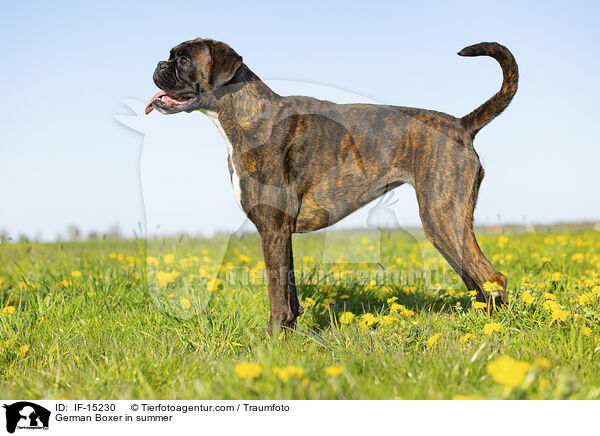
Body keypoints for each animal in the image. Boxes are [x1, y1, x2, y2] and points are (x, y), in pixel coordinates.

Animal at [144, 38, 516, 334]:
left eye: (184, 60)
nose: (159, 65)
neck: (249, 116)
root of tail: (461, 125)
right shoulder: (282, 234)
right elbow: (289, 294)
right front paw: (288, 336)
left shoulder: (272, 230)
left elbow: (276, 296)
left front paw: (270, 343)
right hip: (451, 225)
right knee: (477, 281)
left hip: (441, 219)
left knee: (492, 277)